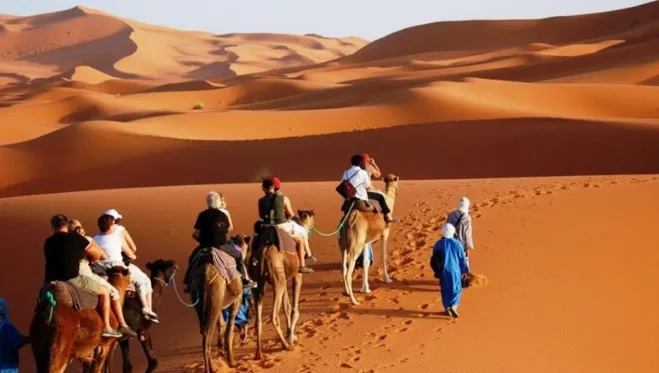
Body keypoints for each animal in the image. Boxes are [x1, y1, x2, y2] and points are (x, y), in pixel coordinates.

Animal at [192, 234, 254, 370]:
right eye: (249, 248)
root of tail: (206, 272)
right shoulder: (236, 300)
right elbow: (229, 330)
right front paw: (231, 361)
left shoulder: (221, 306)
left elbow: (221, 325)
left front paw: (222, 353)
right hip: (216, 295)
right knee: (208, 332)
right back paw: (211, 368)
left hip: (200, 301)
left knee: (204, 331)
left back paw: (211, 367)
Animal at [248, 219, 306, 358]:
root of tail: (264, 250)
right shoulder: (297, 275)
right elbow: (293, 309)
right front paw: (291, 338)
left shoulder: (284, 278)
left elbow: (286, 307)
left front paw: (290, 335)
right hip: (277, 280)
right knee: (273, 316)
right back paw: (286, 346)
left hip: (259, 283)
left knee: (258, 320)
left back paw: (258, 353)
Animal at [342, 173, 400, 304]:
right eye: (397, 180)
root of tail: (350, 218)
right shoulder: (385, 234)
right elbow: (383, 256)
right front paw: (387, 279)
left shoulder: (366, 242)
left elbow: (366, 262)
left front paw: (366, 289)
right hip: (356, 245)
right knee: (349, 272)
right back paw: (354, 301)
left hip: (344, 244)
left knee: (343, 268)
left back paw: (347, 292)